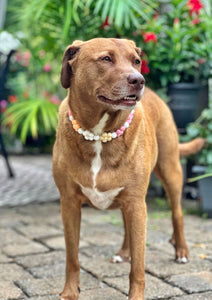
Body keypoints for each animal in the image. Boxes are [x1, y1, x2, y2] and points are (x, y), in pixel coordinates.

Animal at [52, 38, 203, 298]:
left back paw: (181, 250)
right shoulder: (69, 203)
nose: (138, 80)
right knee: (126, 225)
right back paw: (124, 252)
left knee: (177, 213)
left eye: (137, 61)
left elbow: (139, 267)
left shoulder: (137, 204)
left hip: (170, 171)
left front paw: (136, 295)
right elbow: (72, 258)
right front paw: (70, 292)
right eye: (106, 59)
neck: (99, 134)